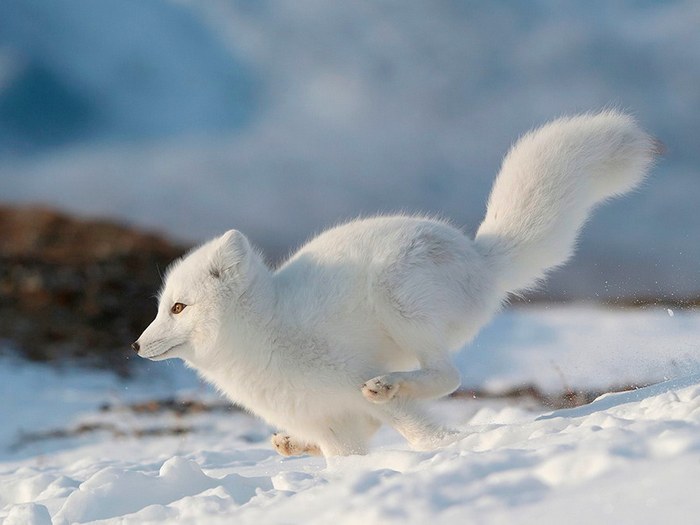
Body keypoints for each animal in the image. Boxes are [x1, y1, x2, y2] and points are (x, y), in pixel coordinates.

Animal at [134, 110, 660, 454]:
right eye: (161, 307)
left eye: (179, 307)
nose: (137, 346)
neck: (263, 333)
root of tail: (479, 255)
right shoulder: (329, 423)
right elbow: (345, 455)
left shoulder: (346, 377)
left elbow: (412, 426)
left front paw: (440, 451)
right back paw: (293, 444)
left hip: (398, 299)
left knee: (447, 376)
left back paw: (388, 387)